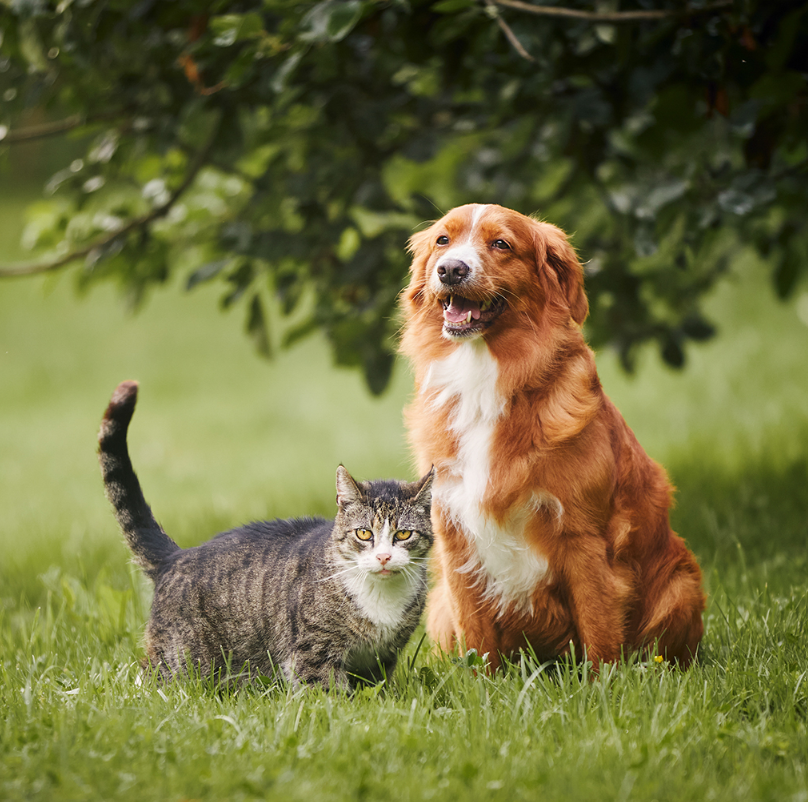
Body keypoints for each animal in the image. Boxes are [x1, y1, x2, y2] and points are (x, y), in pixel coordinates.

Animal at [98, 382, 436, 688]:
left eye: (403, 534)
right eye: (364, 533)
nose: (383, 557)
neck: (381, 599)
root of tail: (176, 556)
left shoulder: (382, 658)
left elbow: (375, 690)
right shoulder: (313, 652)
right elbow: (327, 693)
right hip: (181, 659)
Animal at [400, 202, 704, 668]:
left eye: (501, 244)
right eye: (442, 241)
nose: (450, 269)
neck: (484, 376)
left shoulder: (584, 536)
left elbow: (599, 629)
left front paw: (604, 684)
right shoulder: (455, 537)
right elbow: (476, 641)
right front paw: (480, 683)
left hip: (681, 585)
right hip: (438, 607)